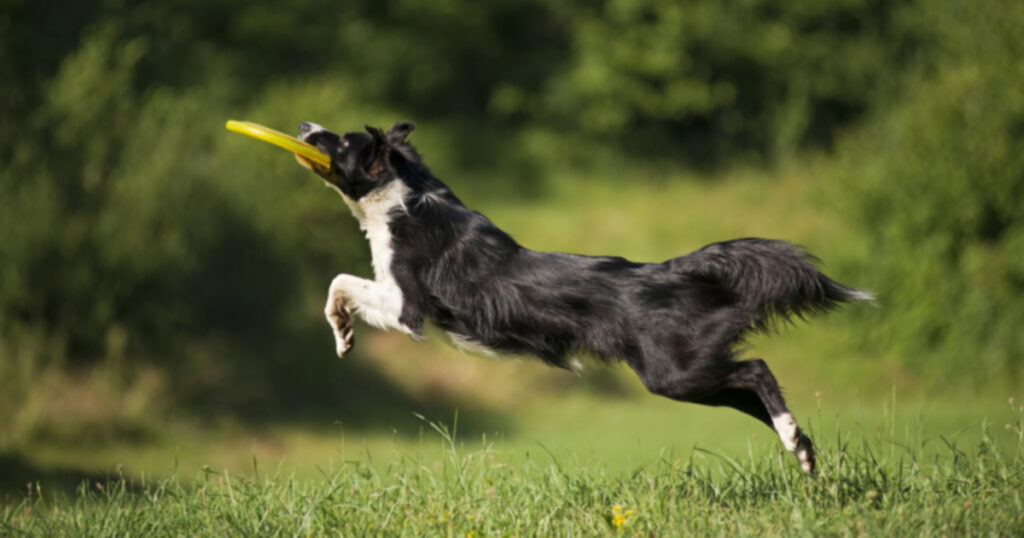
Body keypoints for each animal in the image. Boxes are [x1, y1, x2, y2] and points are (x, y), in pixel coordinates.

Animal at [296, 120, 872, 473]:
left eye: (341, 144)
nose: (303, 128)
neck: (404, 196)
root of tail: (673, 270)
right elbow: (339, 284)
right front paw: (343, 335)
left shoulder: (407, 305)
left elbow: (340, 282)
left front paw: (342, 331)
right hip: (689, 374)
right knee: (752, 392)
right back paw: (801, 448)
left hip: (676, 372)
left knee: (757, 370)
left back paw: (794, 440)